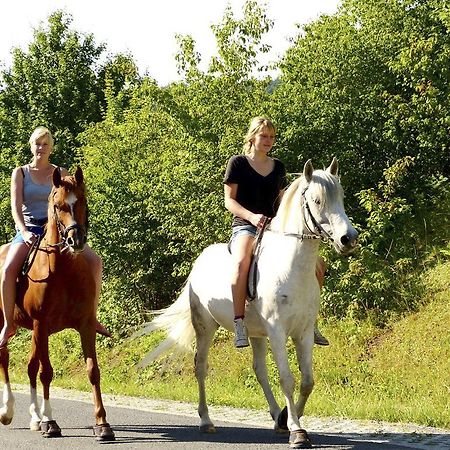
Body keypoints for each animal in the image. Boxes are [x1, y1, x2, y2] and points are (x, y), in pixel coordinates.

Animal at [0, 167, 114, 442]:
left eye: (82, 201)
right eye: (58, 205)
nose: (76, 240)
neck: (64, 271)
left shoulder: (84, 325)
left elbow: (93, 371)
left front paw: (102, 424)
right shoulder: (41, 324)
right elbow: (47, 372)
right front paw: (50, 422)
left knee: (30, 367)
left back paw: (34, 417)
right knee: (4, 357)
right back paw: (8, 411)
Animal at [137, 157, 358, 446]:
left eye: (340, 197)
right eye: (317, 200)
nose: (348, 238)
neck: (292, 267)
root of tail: (199, 262)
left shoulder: (304, 332)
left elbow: (307, 381)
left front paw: (287, 419)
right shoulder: (277, 331)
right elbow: (287, 379)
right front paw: (297, 431)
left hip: (256, 333)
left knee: (259, 370)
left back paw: (276, 416)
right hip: (205, 327)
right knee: (200, 366)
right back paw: (206, 421)